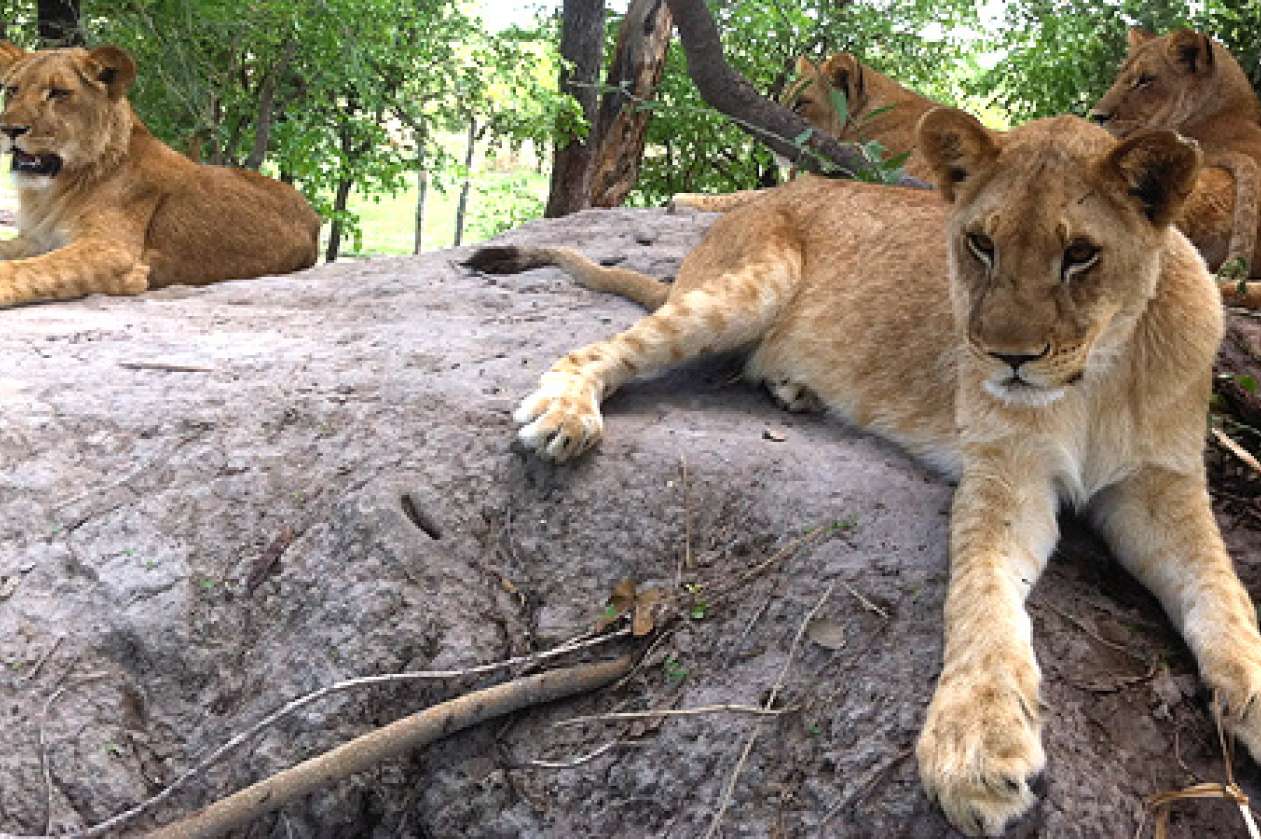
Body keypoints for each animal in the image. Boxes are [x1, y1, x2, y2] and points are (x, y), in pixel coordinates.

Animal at [0, 41, 320, 309]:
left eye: (58, 93)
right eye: (12, 90)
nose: (8, 129)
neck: (51, 191)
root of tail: (313, 217)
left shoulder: (113, 251)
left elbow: (32, 270)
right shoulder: (37, 240)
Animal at [469, 109, 1261, 832]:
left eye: (1080, 254)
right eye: (980, 244)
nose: (1003, 356)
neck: (1096, 376)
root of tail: (751, 205)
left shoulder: (1160, 482)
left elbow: (1221, 589)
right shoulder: (1005, 471)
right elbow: (979, 596)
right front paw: (975, 743)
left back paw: (792, 388)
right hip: (748, 285)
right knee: (607, 347)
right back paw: (564, 413)